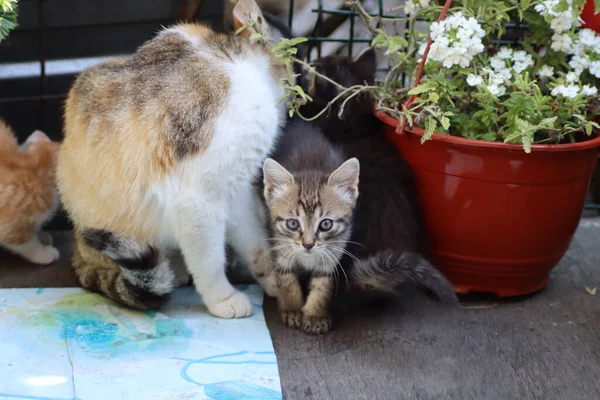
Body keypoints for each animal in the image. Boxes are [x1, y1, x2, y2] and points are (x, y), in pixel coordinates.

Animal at [58, 0, 286, 318]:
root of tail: (77, 244)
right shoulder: (197, 198)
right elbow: (209, 259)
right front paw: (223, 298)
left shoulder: (236, 189)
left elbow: (253, 239)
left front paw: (273, 279)